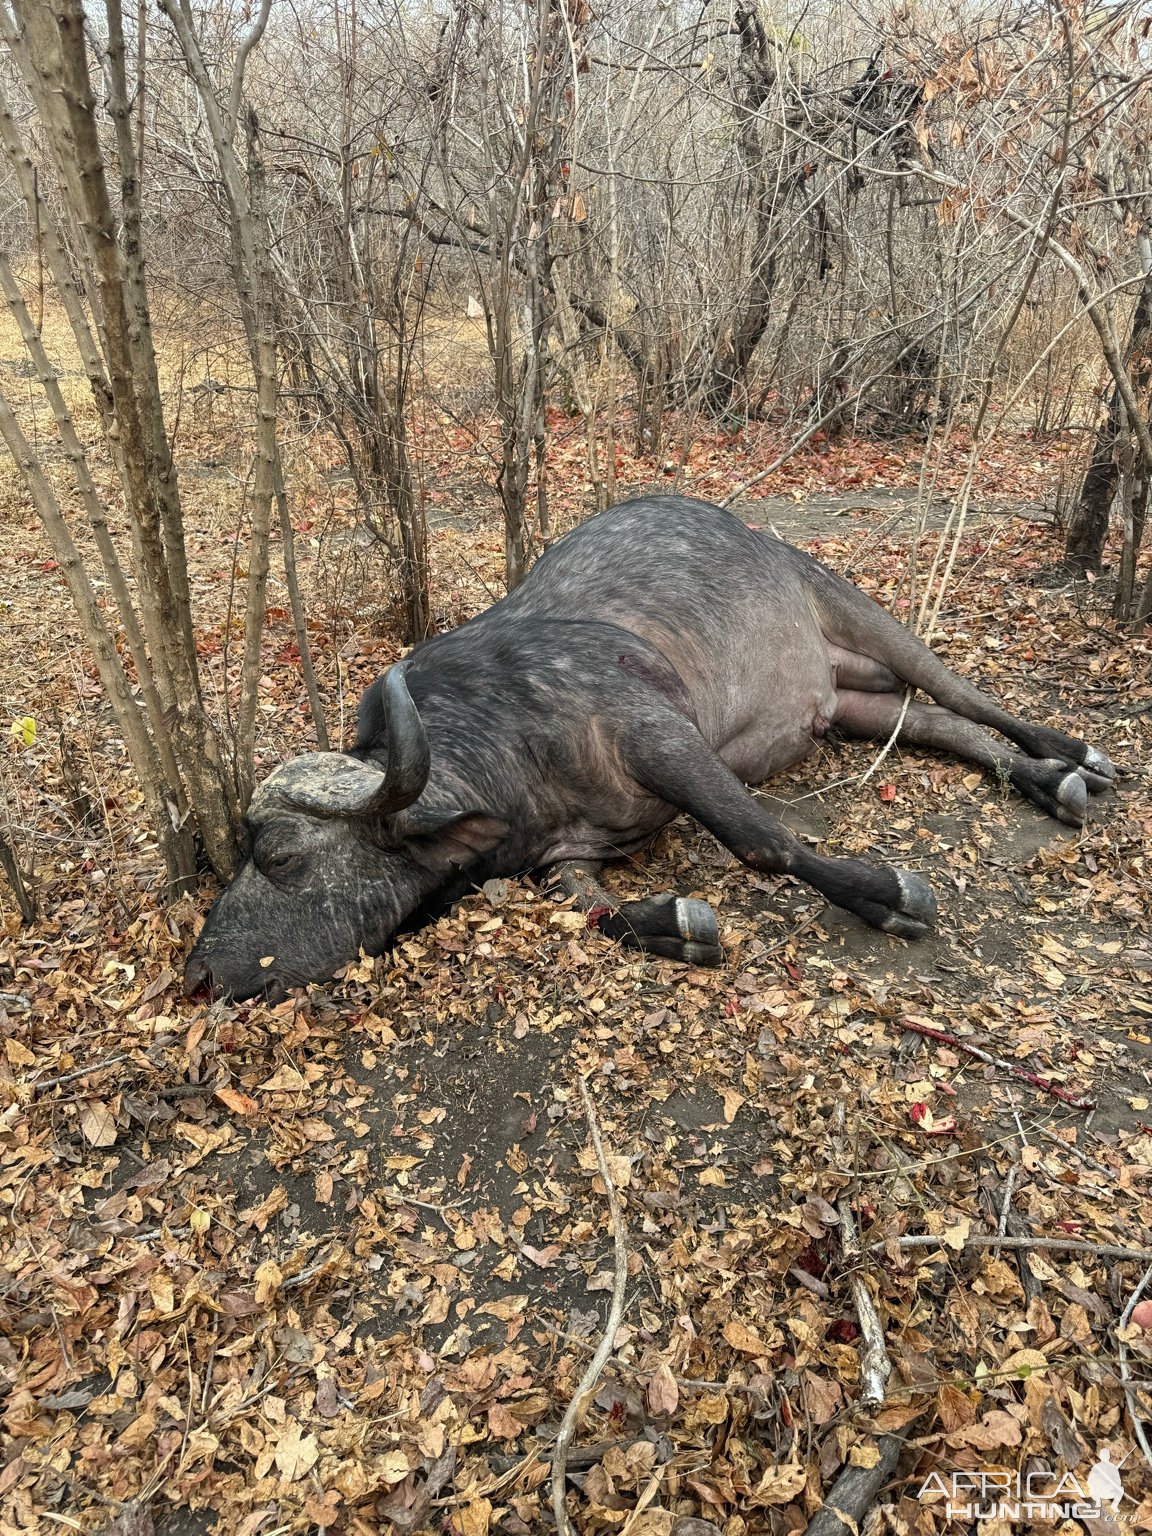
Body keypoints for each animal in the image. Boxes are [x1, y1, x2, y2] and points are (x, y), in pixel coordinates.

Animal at [185, 491, 1112, 995]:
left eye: (277, 855)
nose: (199, 976)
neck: (505, 749)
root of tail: (753, 532)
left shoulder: (660, 735)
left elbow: (762, 841)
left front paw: (886, 893)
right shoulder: (564, 859)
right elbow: (593, 912)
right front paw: (673, 923)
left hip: (856, 611)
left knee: (966, 695)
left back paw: (1075, 757)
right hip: (843, 704)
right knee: (941, 724)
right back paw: (1044, 780)